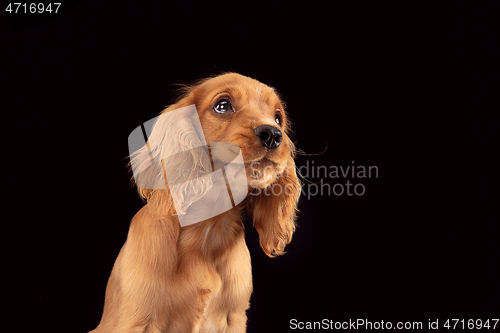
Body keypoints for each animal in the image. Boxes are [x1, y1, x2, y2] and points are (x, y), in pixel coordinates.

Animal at [90, 73, 300, 332]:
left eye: (278, 117)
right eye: (223, 105)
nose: (273, 135)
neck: (208, 229)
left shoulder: (234, 317)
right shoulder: (137, 320)